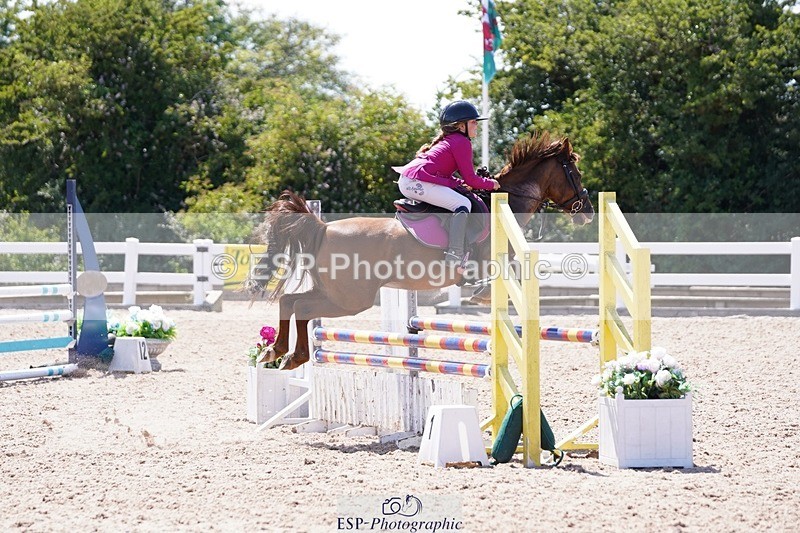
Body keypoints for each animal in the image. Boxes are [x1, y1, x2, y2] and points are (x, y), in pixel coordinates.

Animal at [251, 131, 594, 370]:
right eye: (575, 174)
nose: (588, 211)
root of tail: (323, 229)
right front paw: (482, 295)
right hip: (351, 299)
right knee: (301, 307)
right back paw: (288, 354)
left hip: (335, 292)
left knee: (292, 301)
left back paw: (281, 353)